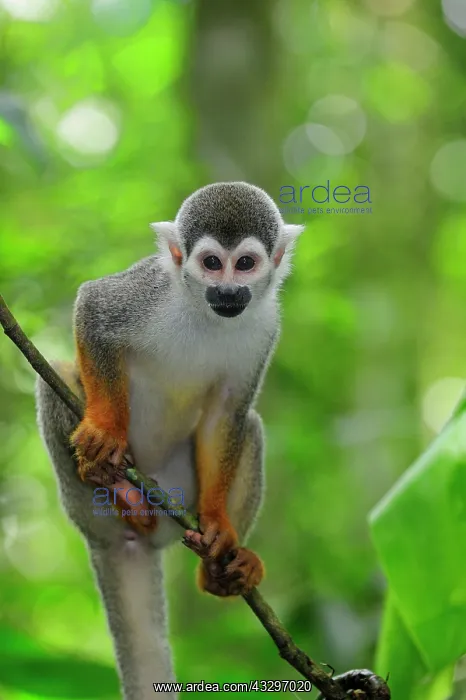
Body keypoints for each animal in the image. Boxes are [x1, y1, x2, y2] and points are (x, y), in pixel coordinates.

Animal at [35, 181, 303, 700]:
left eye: (245, 264)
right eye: (211, 263)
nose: (228, 291)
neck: (206, 314)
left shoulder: (267, 327)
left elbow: (228, 413)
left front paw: (218, 524)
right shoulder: (150, 291)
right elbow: (94, 308)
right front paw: (106, 430)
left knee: (250, 426)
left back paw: (222, 570)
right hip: (82, 508)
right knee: (53, 373)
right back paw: (114, 485)